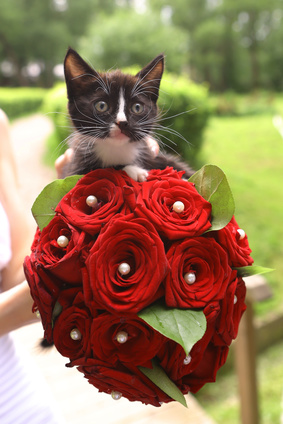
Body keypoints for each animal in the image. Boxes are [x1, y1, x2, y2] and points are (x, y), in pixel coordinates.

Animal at [63, 48, 194, 181]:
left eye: (137, 107)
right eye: (102, 105)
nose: (122, 123)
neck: (117, 149)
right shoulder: (75, 167)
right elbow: (102, 170)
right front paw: (135, 170)